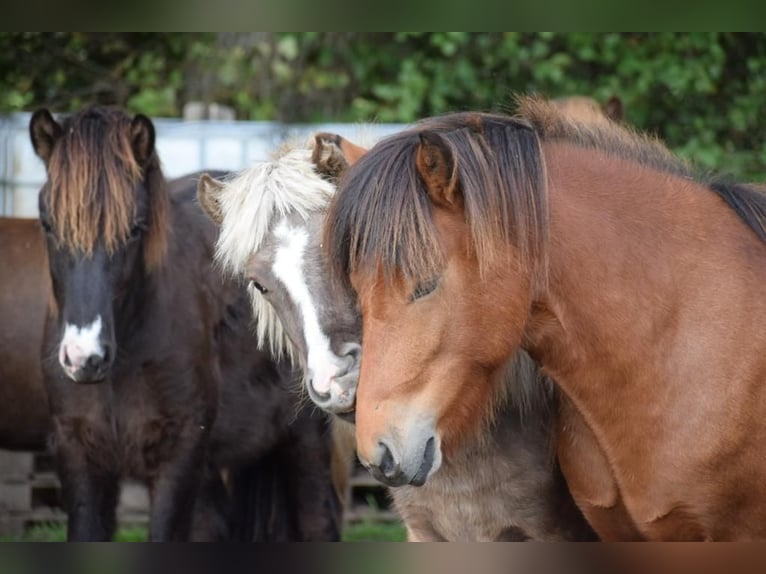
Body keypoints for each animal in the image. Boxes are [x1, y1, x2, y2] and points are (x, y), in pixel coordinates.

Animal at [28, 108, 344, 544]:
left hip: (305, 441)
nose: (84, 357)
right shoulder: (79, 454)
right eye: (47, 223)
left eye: (136, 228)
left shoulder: (179, 455)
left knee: (318, 521)